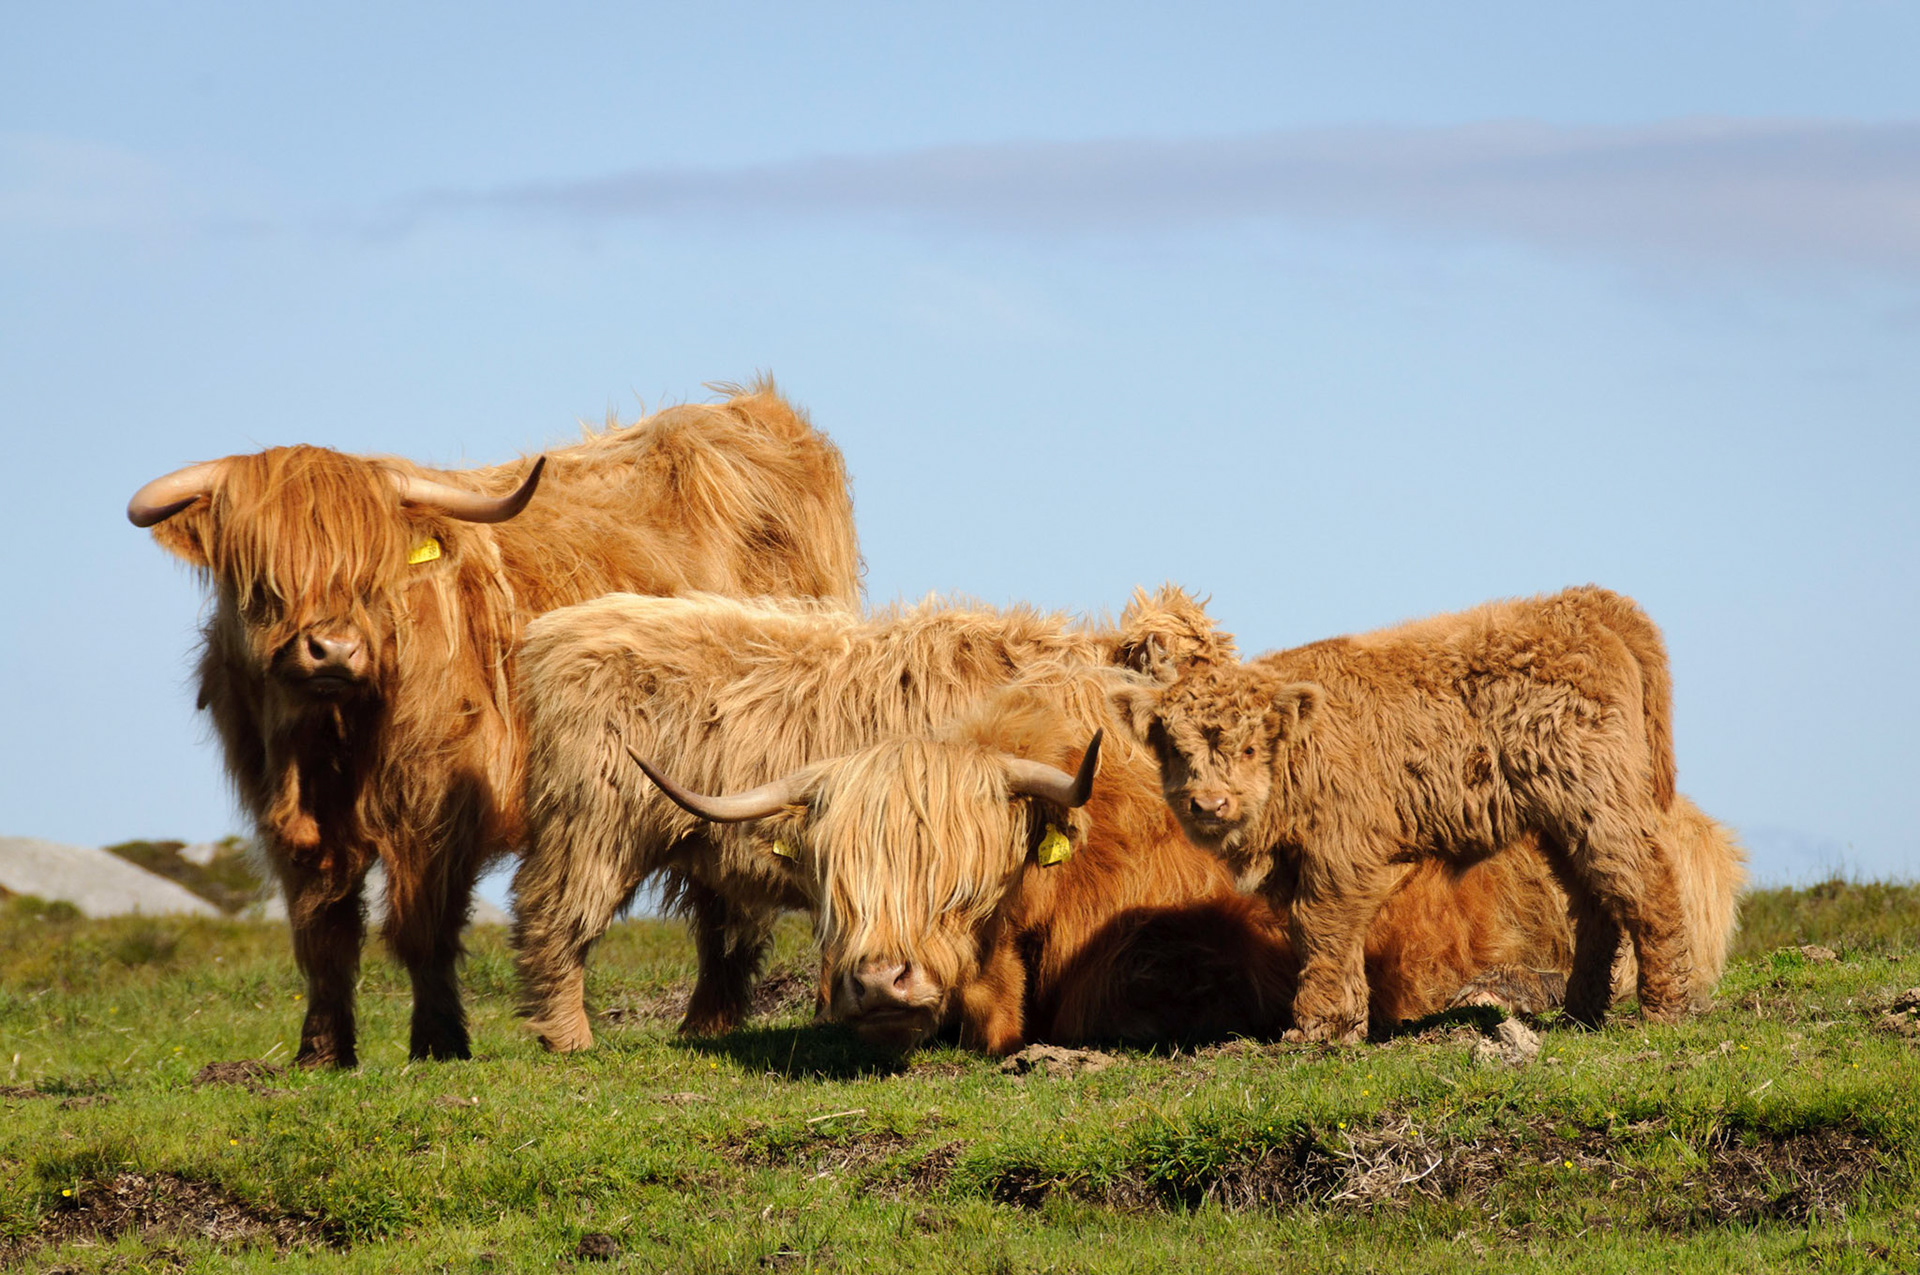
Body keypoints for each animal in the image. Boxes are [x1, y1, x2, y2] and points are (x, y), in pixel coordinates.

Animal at [127, 381, 860, 1066]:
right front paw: (322, 1052)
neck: (325, 742)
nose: (334, 650)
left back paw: (737, 1018)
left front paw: (439, 1041)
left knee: (745, 900)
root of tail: (750, 412)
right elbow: (323, 932)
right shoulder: (289, 820)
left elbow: (422, 925)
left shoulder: (433, 806)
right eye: (262, 576)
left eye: (373, 574)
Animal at [1107, 585, 1701, 1043]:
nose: (1210, 803)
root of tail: (1578, 604)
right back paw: (1581, 1012)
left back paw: (1665, 1009)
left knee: (1646, 884)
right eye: (1176, 750)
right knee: (1595, 900)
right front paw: (1342, 1025)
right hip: (1561, 820)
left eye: (1251, 748)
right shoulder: (1302, 864)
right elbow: (1314, 932)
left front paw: (1313, 1028)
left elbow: (1324, 925)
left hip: (1598, 801)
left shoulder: (1343, 851)